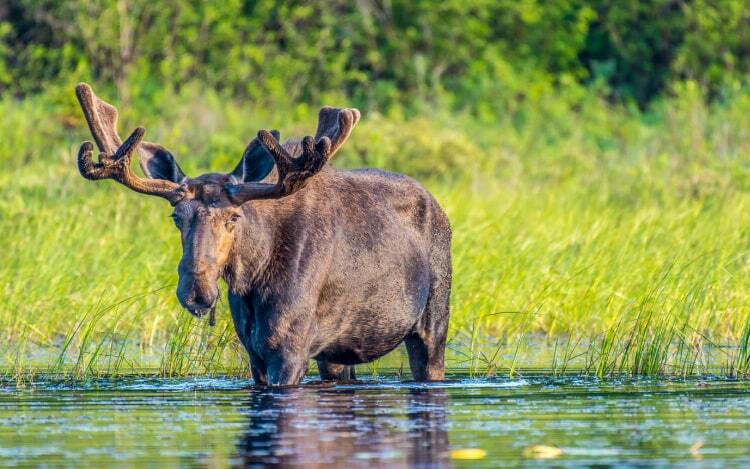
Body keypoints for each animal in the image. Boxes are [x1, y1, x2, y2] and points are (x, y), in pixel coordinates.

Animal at [75, 83, 452, 384]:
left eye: (233, 217)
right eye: (176, 216)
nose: (196, 292)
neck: (253, 275)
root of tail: (438, 207)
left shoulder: (290, 350)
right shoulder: (255, 353)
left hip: (434, 323)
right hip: (336, 353)